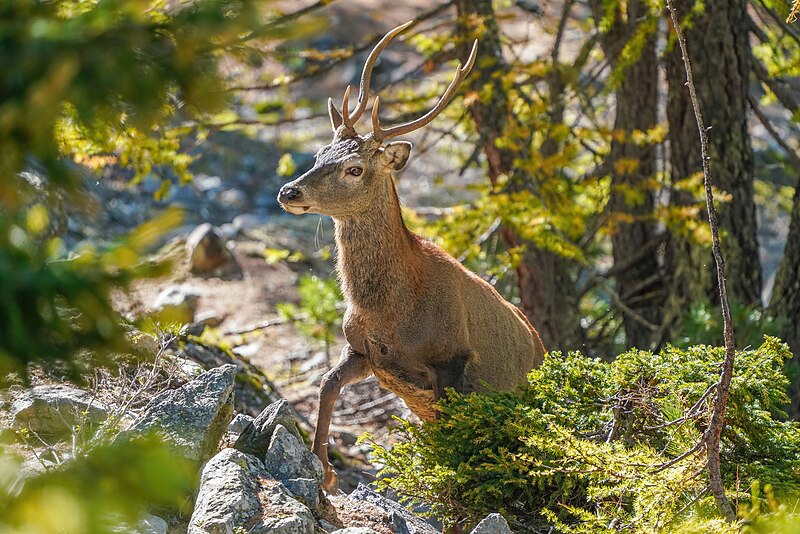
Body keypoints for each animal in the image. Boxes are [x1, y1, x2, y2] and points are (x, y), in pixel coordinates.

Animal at [278, 22, 548, 494]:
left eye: (354, 169)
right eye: (318, 155)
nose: (289, 191)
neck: (391, 309)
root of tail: (544, 349)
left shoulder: (453, 361)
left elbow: (450, 450)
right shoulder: (366, 351)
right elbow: (327, 384)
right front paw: (325, 472)